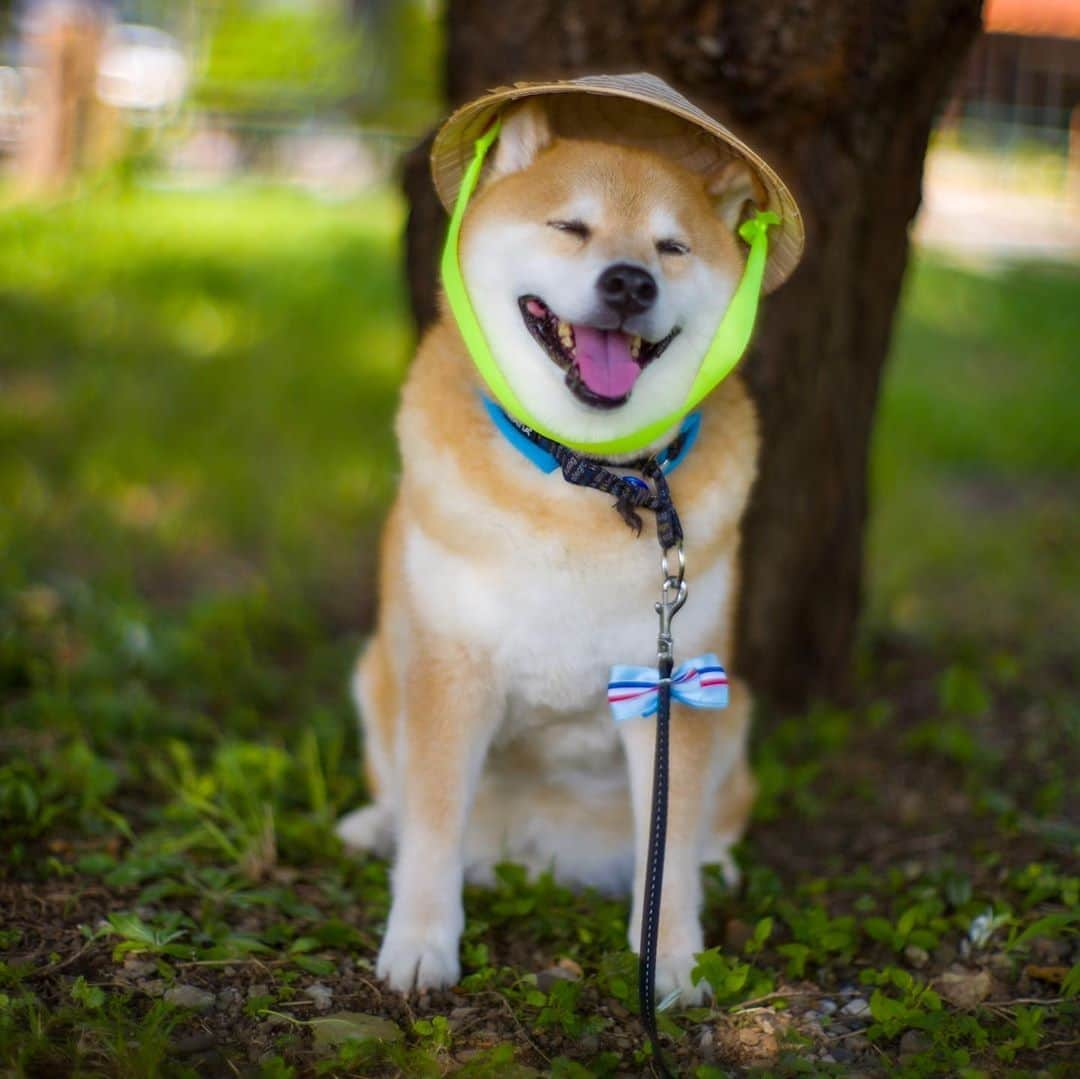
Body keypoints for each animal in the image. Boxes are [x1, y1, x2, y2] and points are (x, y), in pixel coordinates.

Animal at [341, 97, 764, 1006]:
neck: (586, 478)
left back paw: (721, 860)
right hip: (376, 672)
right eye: (571, 225)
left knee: (714, 820)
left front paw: (673, 958)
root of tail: (546, 856)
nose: (630, 282)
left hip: (736, 703)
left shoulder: (674, 688)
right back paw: (373, 825)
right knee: (400, 796)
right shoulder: (449, 666)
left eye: (672, 247)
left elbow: (672, 849)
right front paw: (421, 943)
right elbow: (432, 827)